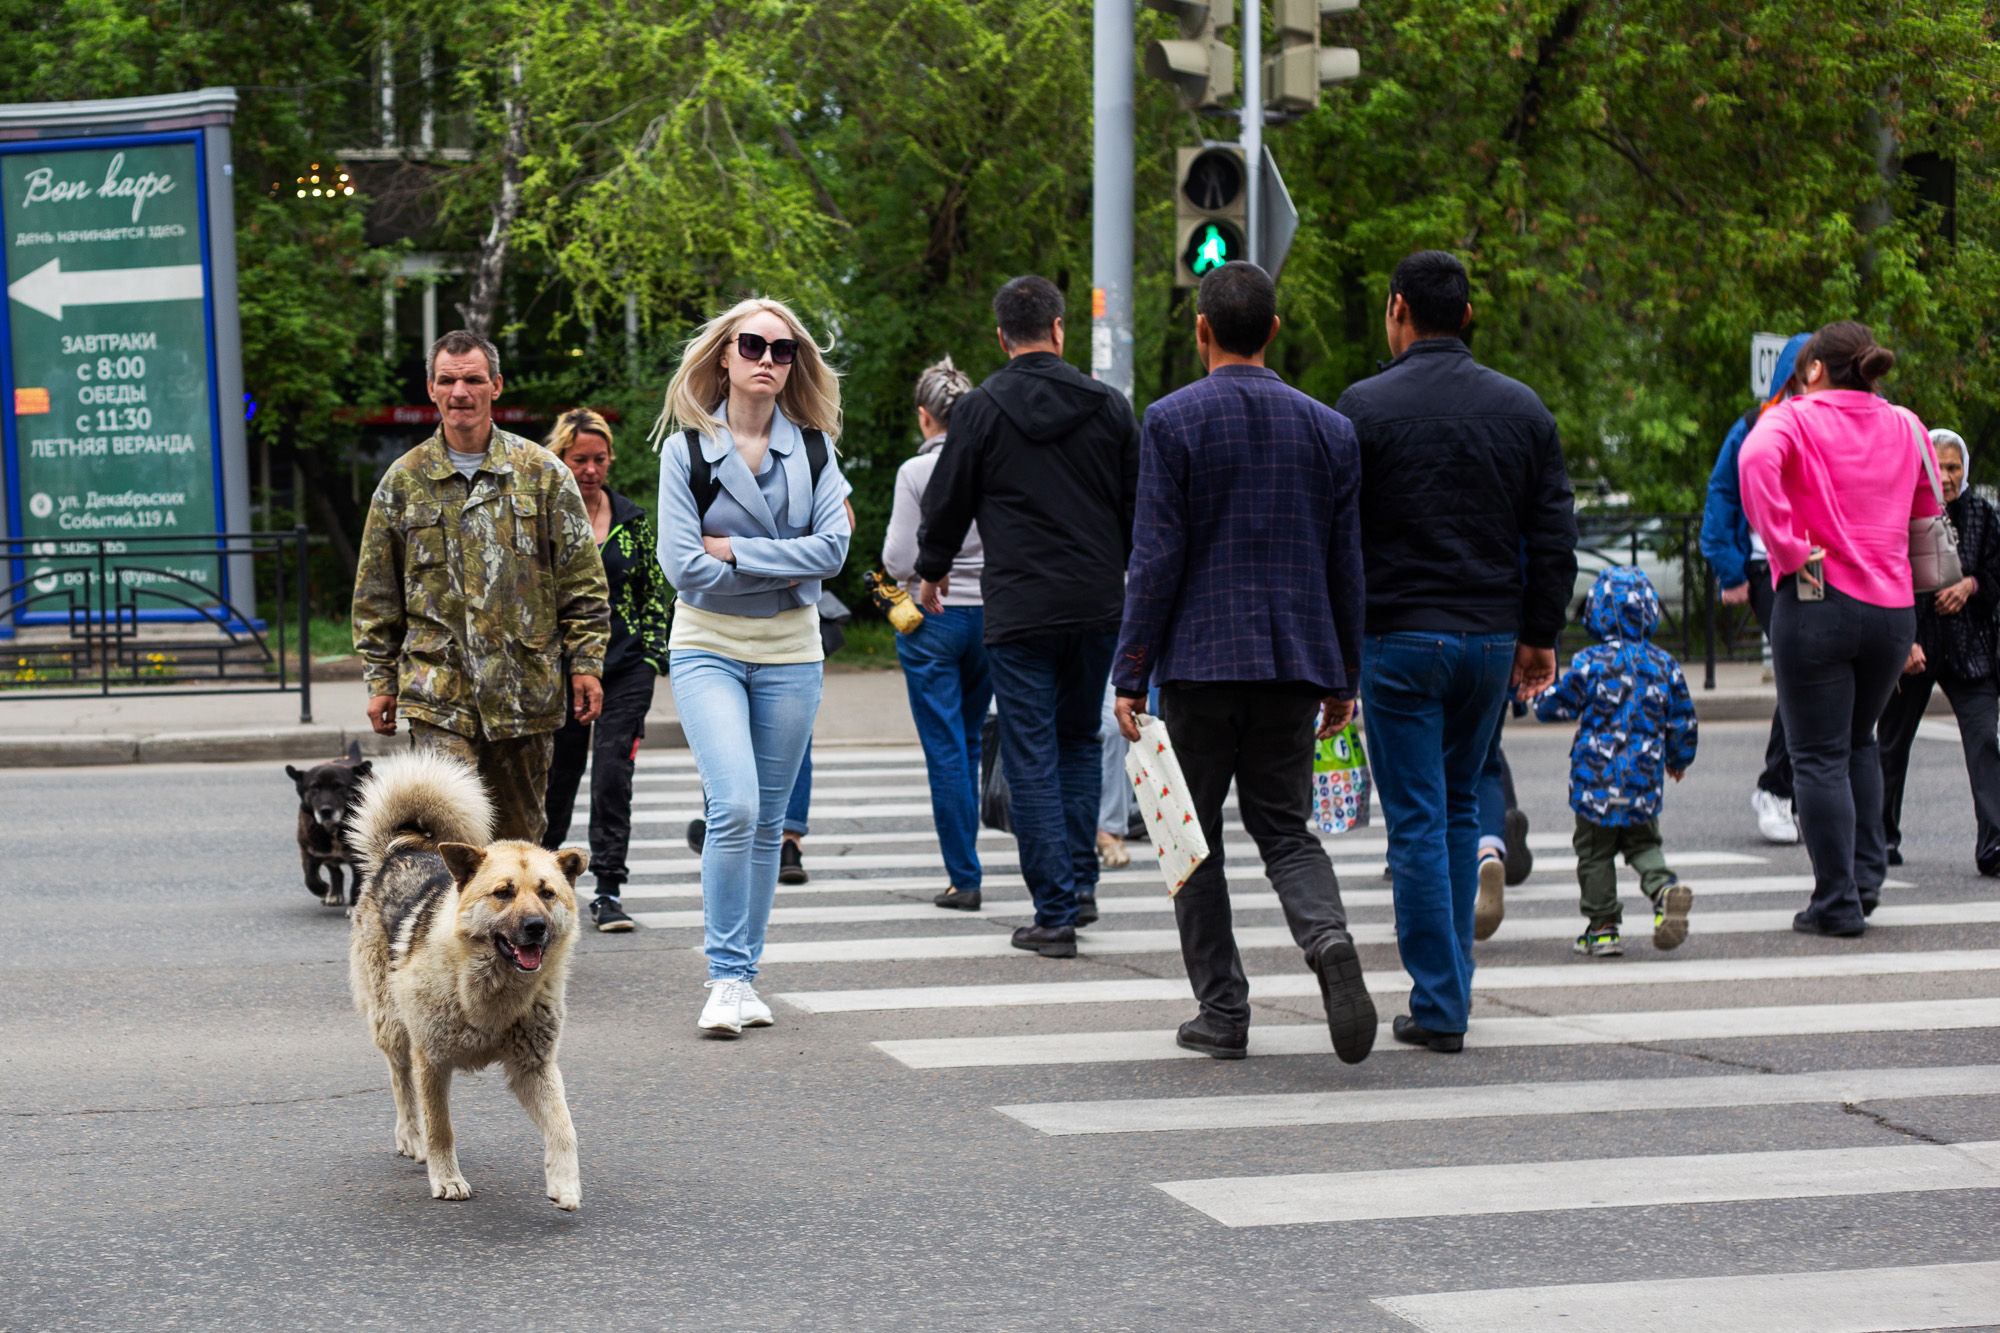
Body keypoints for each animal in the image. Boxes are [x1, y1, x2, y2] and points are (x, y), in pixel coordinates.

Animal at [292, 736, 378, 904]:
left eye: (339, 787)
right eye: (314, 788)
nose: (325, 811)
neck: (334, 829)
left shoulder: (359, 859)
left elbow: (357, 884)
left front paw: (353, 905)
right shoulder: (309, 851)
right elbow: (310, 877)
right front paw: (322, 889)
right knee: (336, 872)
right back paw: (334, 893)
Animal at [346, 748, 584, 1200]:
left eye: (547, 893)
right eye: (504, 892)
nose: (536, 927)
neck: (489, 992)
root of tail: (398, 853)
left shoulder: (534, 1067)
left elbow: (564, 1127)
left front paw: (564, 1183)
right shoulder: (432, 1061)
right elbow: (441, 1128)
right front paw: (446, 1177)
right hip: (392, 1025)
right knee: (400, 1082)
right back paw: (410, 1136)